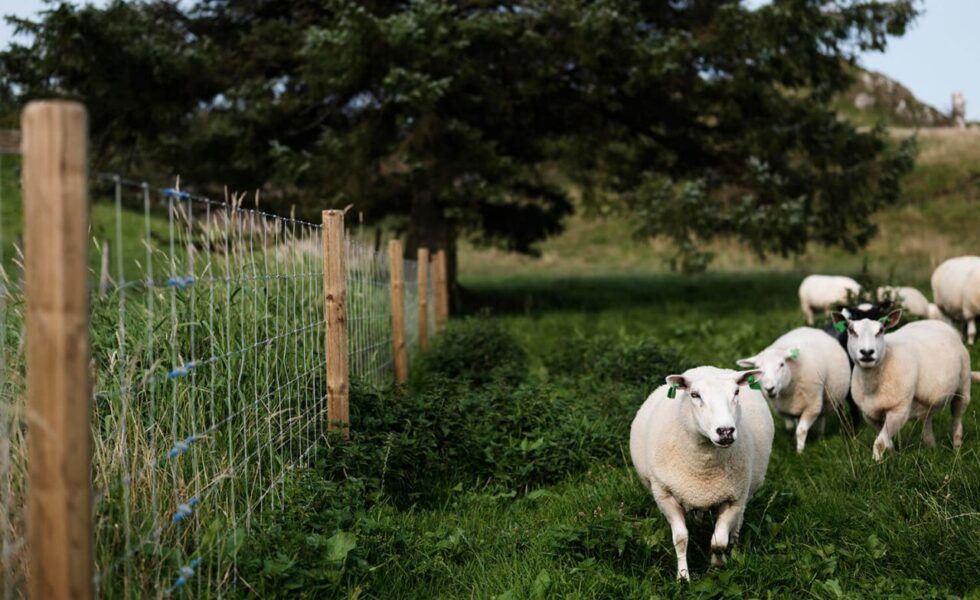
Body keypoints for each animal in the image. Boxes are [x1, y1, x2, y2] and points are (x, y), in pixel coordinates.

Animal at [632, 366, 776, 580]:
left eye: (736, 392)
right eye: (694, 395)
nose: (725, 431)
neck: (703, 469)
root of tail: (707, 368)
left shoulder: (734, 498)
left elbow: (718, 542)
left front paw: (717, 565)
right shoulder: (664, 493)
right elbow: (681, 538)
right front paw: (683, 577)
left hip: (745, 493)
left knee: (737, 524)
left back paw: (734, 546)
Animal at [832, 310, 976, 460]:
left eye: (881, 330)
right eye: (851, 330)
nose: (867, 352)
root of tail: (936, 322)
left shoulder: (898, 410)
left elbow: (880, 443)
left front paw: (876, 463)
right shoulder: (870, 415)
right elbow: (887, 442)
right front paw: (892, 458)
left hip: (963, 386)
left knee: (957, 419)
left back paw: (957, 449)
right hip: (926, 400)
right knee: (927, 419)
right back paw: (931, 447)